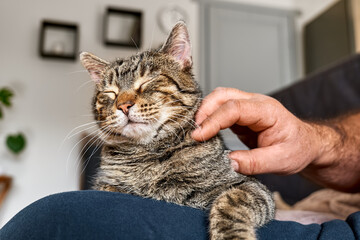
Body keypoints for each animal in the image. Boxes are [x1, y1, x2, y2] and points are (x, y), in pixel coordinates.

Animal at [80, 21, 274, 239]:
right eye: (110, 92)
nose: (123, 105)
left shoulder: (250, 187)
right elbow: (109, 188)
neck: (147, 154)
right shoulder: (105, 185)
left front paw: (232, 236)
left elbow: (230, 203)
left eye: (147, 81)